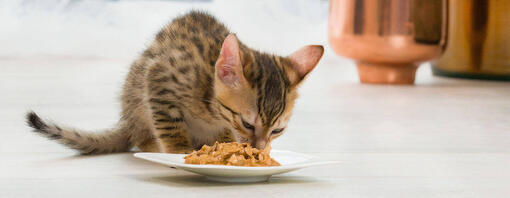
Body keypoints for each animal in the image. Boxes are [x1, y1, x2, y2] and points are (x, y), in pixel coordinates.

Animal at [24, 10, 322, 155]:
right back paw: (152, 145)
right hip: (137, 93)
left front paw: (226, 144)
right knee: (141, 136)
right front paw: (178, 149)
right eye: (248, 124)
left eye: (277, 130)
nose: (259, 148)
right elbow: (169, 122)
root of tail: (126, 122)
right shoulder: (159, 79)